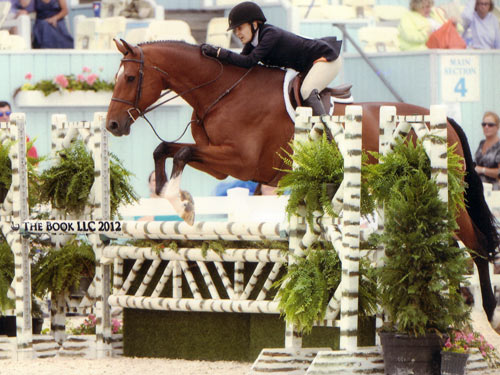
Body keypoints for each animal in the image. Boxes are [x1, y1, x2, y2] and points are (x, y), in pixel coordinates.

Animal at [105, 37, 500, 326]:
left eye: (129, 78)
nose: (113, 125)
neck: (222, 91)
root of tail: (444, 120)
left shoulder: (239, 161)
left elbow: (182, 153)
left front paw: (181, 203)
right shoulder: (219, 164)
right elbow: (165, 149)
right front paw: (172, 197)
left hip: (446, 195)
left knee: (477, 246)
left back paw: (488, 314)